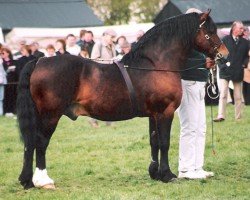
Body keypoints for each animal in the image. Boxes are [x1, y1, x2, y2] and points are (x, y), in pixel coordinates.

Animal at [17, 10, 229, 189]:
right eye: (210, 32)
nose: (224, 55)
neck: (156, 65)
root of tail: (39, 61)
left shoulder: (153, 114)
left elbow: (154, 141)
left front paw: (155, 173)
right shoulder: (165, 112)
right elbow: (164, 142)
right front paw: (167, 175)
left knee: (29, 143)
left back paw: (27, 181)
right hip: (50, 115)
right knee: (40, 142)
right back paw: (43, 180)